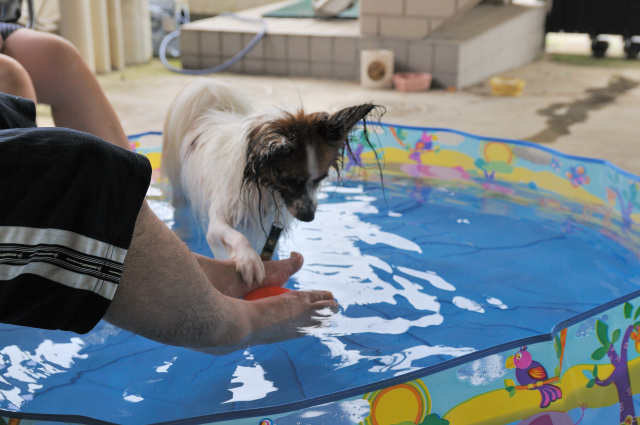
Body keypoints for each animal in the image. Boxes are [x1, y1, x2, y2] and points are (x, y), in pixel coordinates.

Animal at [163, 78, 379, 287]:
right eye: (288, 180)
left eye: (320, 179)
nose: (309, 217)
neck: (263, 186)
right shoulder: (217, 224)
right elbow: (238, 237)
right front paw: (249, 259)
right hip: (180, 192)